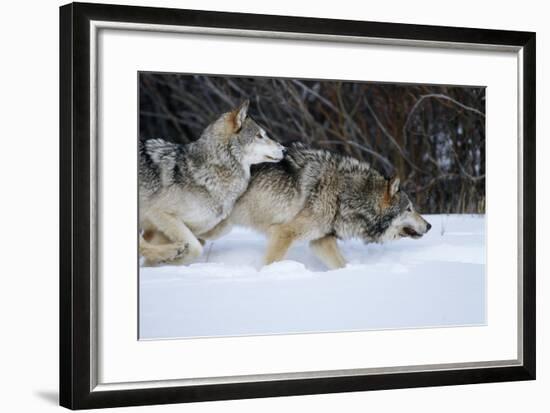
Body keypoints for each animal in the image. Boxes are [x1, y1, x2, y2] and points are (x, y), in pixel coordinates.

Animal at [139, 101, 284, 266]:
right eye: (259, 135)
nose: (284, 149)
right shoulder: (159, 213)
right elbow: (196, 249)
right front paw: (172, 263)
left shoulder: (162, 229)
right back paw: (172, 251)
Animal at [205, 143, 434, 268]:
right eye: (409, 209)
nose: (430, 225)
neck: (344, 195)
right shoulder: (283, 233)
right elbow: (270, 262)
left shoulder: (321, 241)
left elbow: (341, 265)